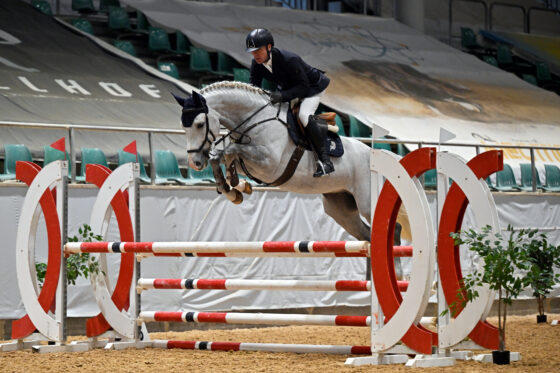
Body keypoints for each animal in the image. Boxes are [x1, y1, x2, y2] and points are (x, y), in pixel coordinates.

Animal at [174, 80, 398, 244]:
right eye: (183, 127)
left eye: (199, 124)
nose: (194, 163)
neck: (254, 120)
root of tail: (377, 155)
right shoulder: (250, 163)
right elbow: (222, 157)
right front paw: (235, 188)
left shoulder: (268, 163)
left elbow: (229, 151)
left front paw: (235, 187)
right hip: (340, 208)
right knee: (367, 234)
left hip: (367, 201)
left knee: (392, 229)